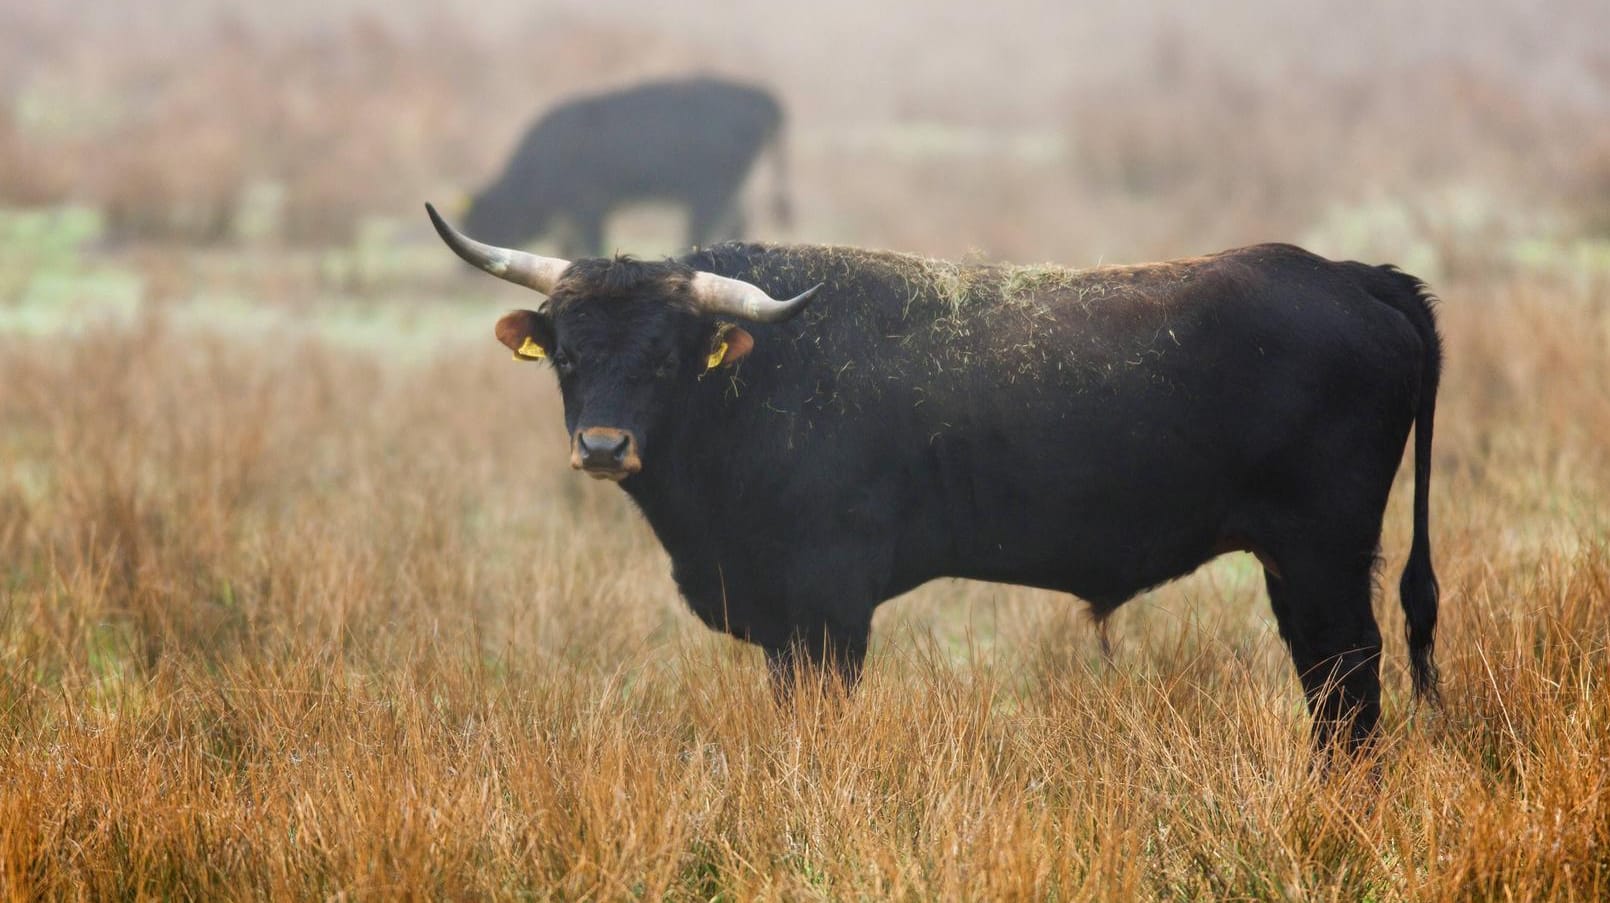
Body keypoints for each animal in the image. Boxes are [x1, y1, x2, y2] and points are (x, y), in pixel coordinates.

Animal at [421, 204, 1442, 753]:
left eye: (668, 358)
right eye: (568, 354)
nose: (602, 446)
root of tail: (1356, 274)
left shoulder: (827, 606)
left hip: (1324, 552)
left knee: (1351, 675)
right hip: (1293, 564)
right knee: (1328, 679)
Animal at [460, 77, 792, 257]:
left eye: (488, 217)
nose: (465, 274)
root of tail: (764, 99)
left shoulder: (589, 209)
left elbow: (592, 245)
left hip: (707, 194)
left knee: (702, 228)